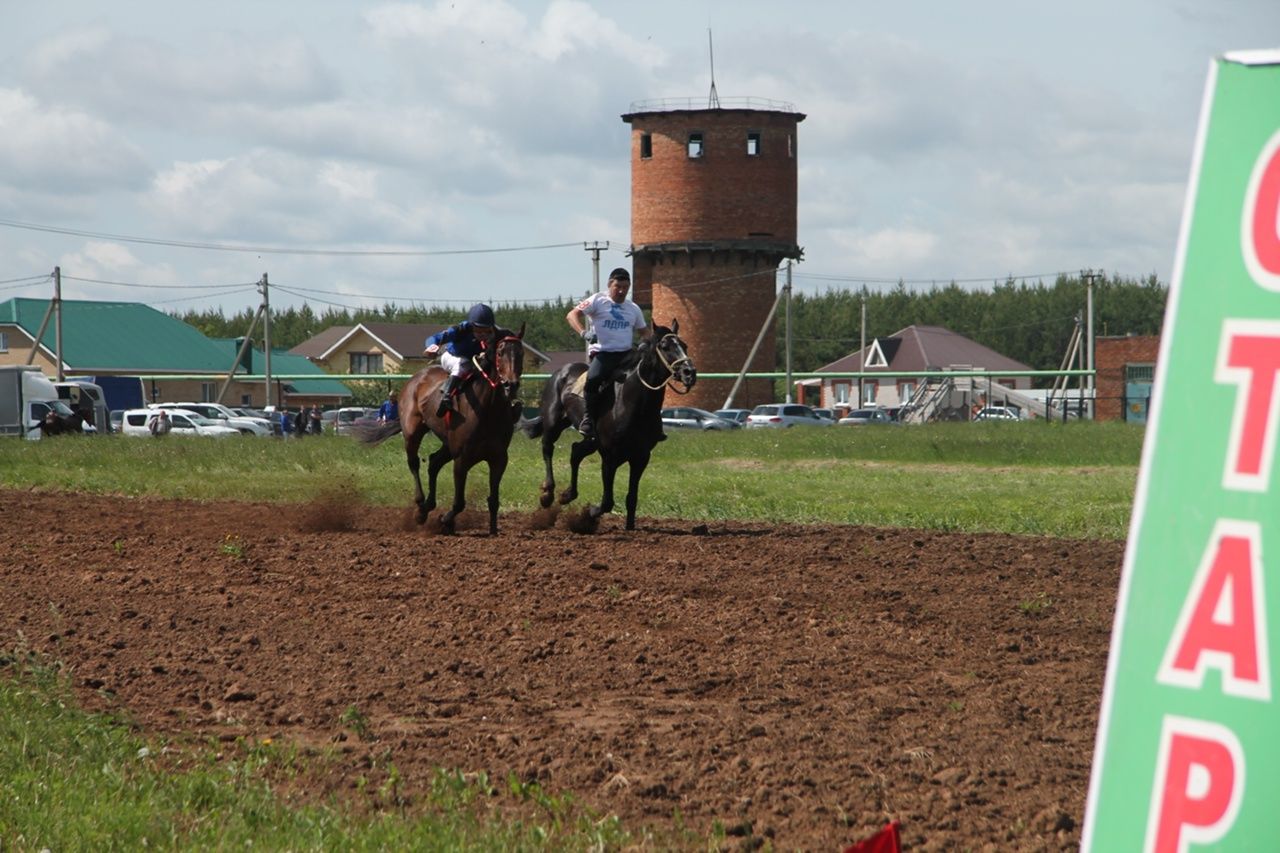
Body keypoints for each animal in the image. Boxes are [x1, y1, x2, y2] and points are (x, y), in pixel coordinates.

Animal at [353, 324, 522, 532]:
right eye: (500, 352)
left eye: (521, 352)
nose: (511, 385)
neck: (488, 409)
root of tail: (417, 377)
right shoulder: (462, 458)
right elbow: (459, 503)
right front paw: (444, 520)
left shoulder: (499, 458)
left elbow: (494, 500)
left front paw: (493, 531)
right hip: (413, 432)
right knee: (414, 463)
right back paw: (420, 507)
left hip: (448, 443)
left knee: (434, 462)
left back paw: (428, 506)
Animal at [519, 318, 701, 527]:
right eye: (665, 347)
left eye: (684, 345)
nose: (689, 373)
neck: (633, 403)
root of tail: (561, 371)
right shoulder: (609, 456)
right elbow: (607, 501)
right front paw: (589, 513)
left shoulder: (641, 456)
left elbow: (632, 498)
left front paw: (630, 527)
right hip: (553, 423)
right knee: (547, 448)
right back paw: (548, 494)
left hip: (591, 441)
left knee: (575, 451)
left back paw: (567, 495)